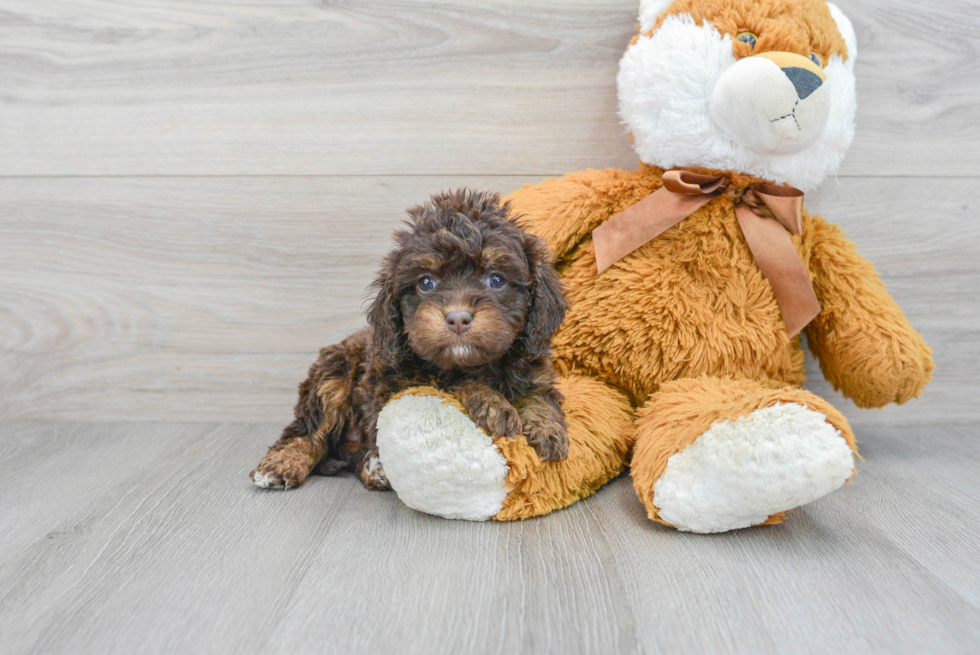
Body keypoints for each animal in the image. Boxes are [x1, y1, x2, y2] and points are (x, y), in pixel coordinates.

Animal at [253, 190, 572, 492]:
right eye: (426, 282)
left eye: (496, 279)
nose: (458, 318)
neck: (477, 364)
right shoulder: (397, 380)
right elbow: (452, 382)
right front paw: (494, 404)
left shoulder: (534, 366)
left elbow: (539, 395)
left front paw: (547, 428)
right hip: (333, 374)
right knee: (309, 431)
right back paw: (282, 465)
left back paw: (373, 468)